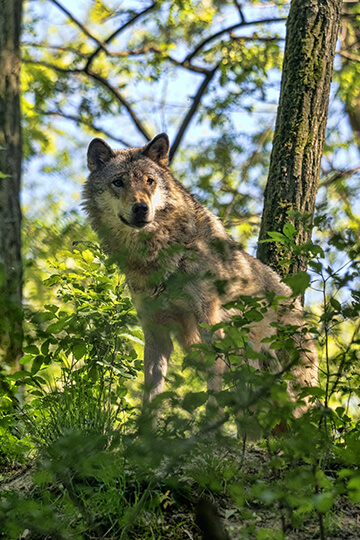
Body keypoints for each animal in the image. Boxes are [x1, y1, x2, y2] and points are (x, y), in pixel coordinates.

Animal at [82, 133, 318, 416]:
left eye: (149, 181)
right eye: (118, 182)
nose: (141, 208)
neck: (159, 254)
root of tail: (298, 309)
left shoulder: (210, 325)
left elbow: (213, 394)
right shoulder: (155, 332)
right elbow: (151, 397)